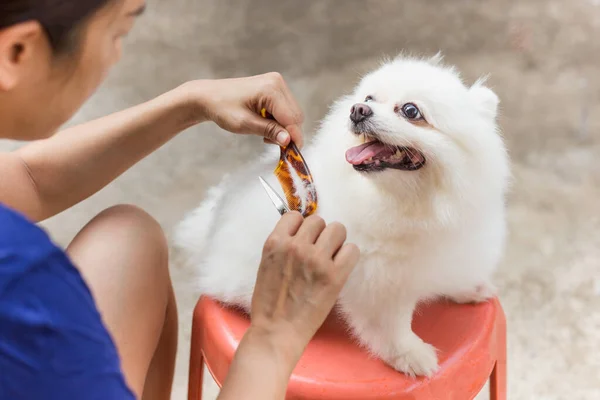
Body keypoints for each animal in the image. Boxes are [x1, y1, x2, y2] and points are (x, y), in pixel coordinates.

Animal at [175, 54, 510, 378]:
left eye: (411, 110)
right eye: (369, 97)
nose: (358, 110)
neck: (414, 204)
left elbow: (452, 272)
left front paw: (469, 288)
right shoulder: (379, 281)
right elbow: (390, 325)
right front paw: (409, 355)